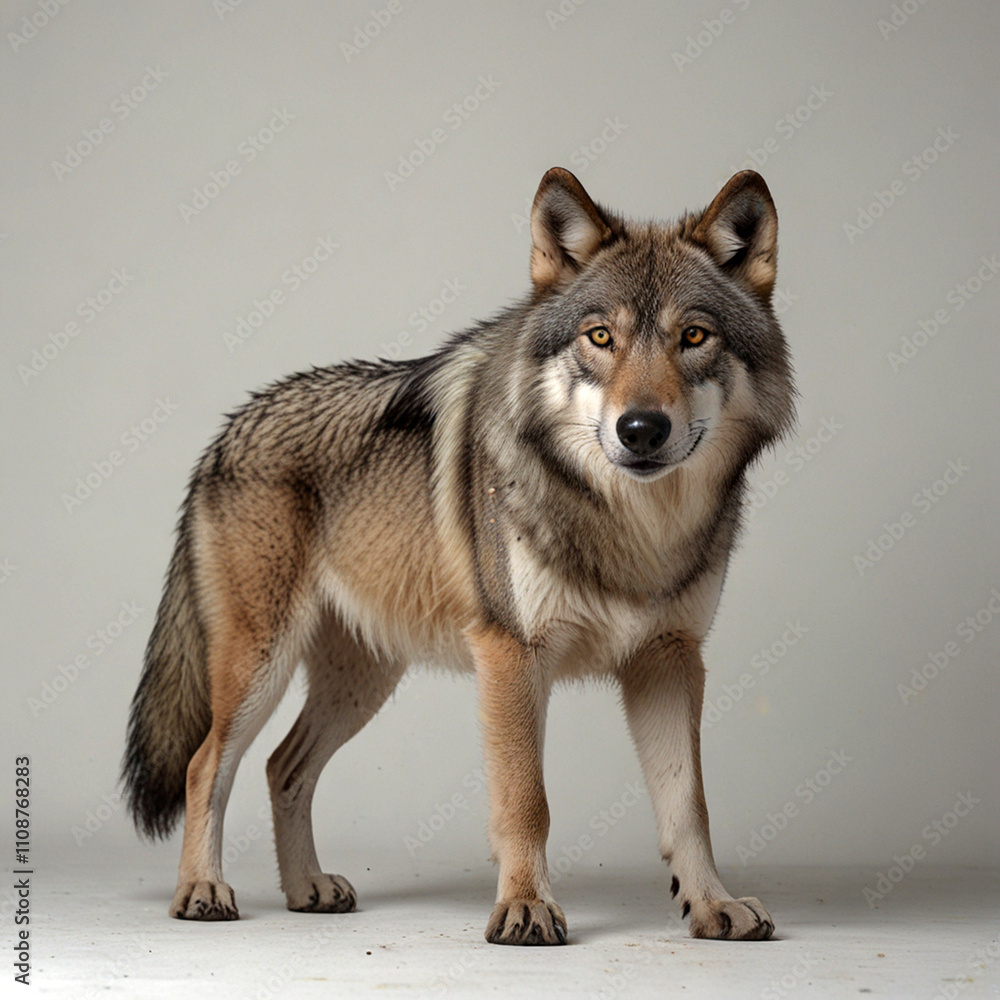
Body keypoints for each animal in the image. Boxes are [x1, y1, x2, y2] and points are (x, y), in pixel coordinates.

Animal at [122, 166, 795, 945]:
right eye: (601, 336)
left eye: (693, 336)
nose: (641, 429)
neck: (633, 526)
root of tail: (226, 431)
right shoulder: (512, 657)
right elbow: (527, 801)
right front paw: (527, 909)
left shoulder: (670, 661)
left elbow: (689, 807)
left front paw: (713, 905)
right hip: (260, 665)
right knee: (207, 765)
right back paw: (202, 889)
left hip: (362, 681)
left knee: (282, 766)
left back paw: (307, 889)